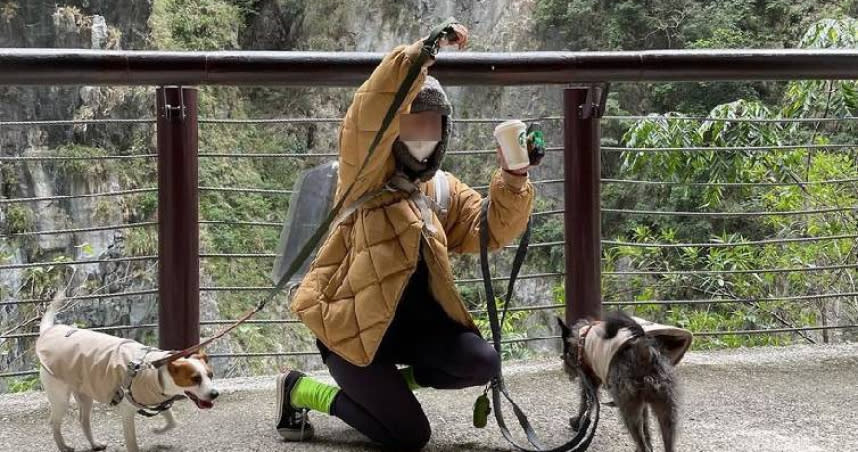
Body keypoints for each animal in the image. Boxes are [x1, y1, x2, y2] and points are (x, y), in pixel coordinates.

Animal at [37, 296, 219, 452]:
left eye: (210, 375)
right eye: (195, 379)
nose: (215, 394)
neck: (155, 372)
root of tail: (47, 332)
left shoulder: (156, 400)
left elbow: (173, 422)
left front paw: (157, 430)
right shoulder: (127, 411)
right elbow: (132, 442)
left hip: (84, 392)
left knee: (83, 420)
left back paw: (94, 444)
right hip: (60, 397)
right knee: (54, 422)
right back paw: (63, 446)